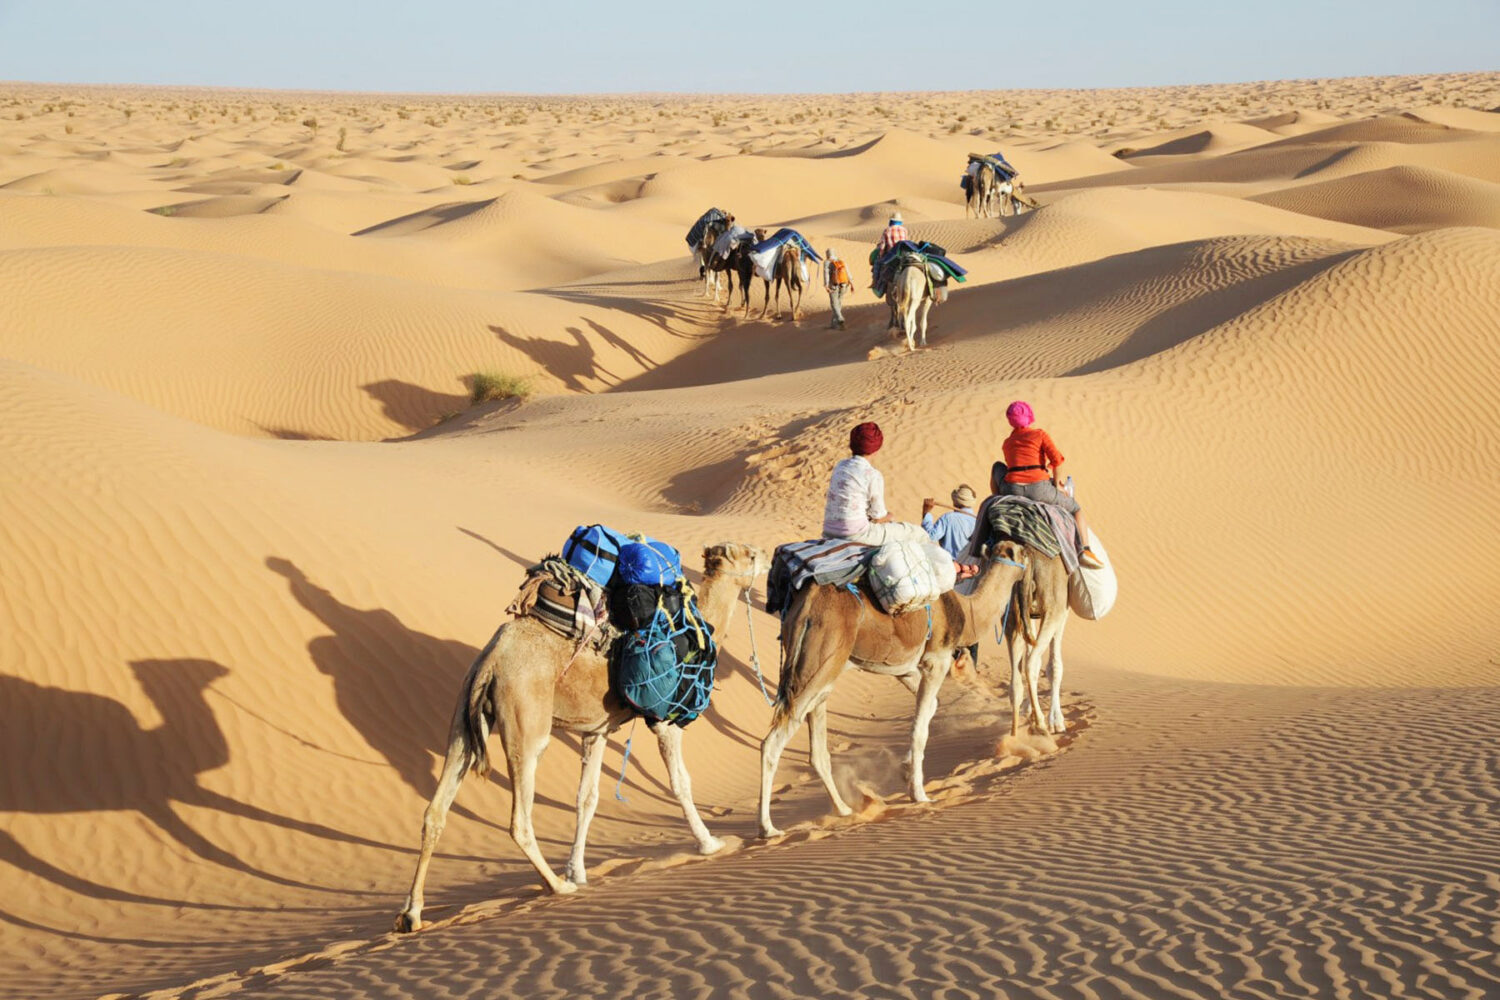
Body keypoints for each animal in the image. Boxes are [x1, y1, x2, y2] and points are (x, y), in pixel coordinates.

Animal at [393, 542, 768, 935]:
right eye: (749, 555)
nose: (768, 555)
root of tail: (491, 660)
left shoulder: (597, 730)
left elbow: (586, 798)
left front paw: (579, 870)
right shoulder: (665, 719)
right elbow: (680, 782)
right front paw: (710, 843)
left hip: (463, 716)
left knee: (436, 810)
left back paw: (412, 914)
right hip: (526, 722)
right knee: (520, 819)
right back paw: (558, 886)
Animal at [762, 539, 1032, 839]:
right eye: (1024, 552)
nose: (1032, 559)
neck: (966, 611)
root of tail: (806, 606)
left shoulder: (907, 668)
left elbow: (930, 710)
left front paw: (906, 771)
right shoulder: (936, 660)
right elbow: (919, 730)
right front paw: (920, 794)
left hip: (820, 667)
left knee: (817, 747)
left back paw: (844, 809)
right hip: (819, 661)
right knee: (774, 738)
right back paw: (769, 828)